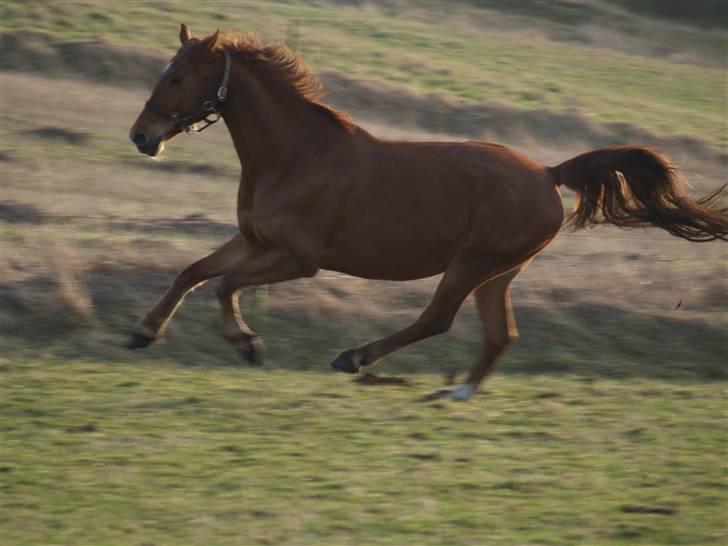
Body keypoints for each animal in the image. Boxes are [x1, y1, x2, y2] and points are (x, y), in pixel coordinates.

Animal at [126, 25, 728, 398]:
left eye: (177, 77)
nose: (141, 137)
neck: (295, 156)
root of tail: (547, 173)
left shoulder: (297, 258)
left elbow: (224, 284)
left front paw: (245, 343)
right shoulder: (253, 241)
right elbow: (193, 272)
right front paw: (143, 333)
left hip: (473, 262)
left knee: (437, 319)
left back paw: (354, 357)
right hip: (500, 271)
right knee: (499, 335)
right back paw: (455, 392)